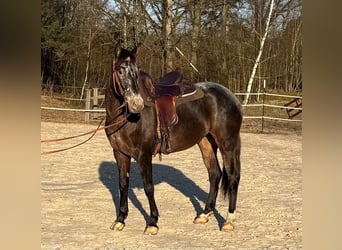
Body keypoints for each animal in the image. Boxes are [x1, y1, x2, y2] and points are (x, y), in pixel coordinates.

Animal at [105, 47, 242, 235]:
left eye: (137, 70)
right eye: (120, 70)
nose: (136, 104)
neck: (126, 118)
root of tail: (231, 97)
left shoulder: (144, 154)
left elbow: (149, 187)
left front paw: (153, 222)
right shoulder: (120, 153)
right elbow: (123, 185)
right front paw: (120, 220)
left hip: (227, 143)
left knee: (233, 176)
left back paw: (229, 220)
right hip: (206, 142)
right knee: (215, 174)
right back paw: (205, 214)